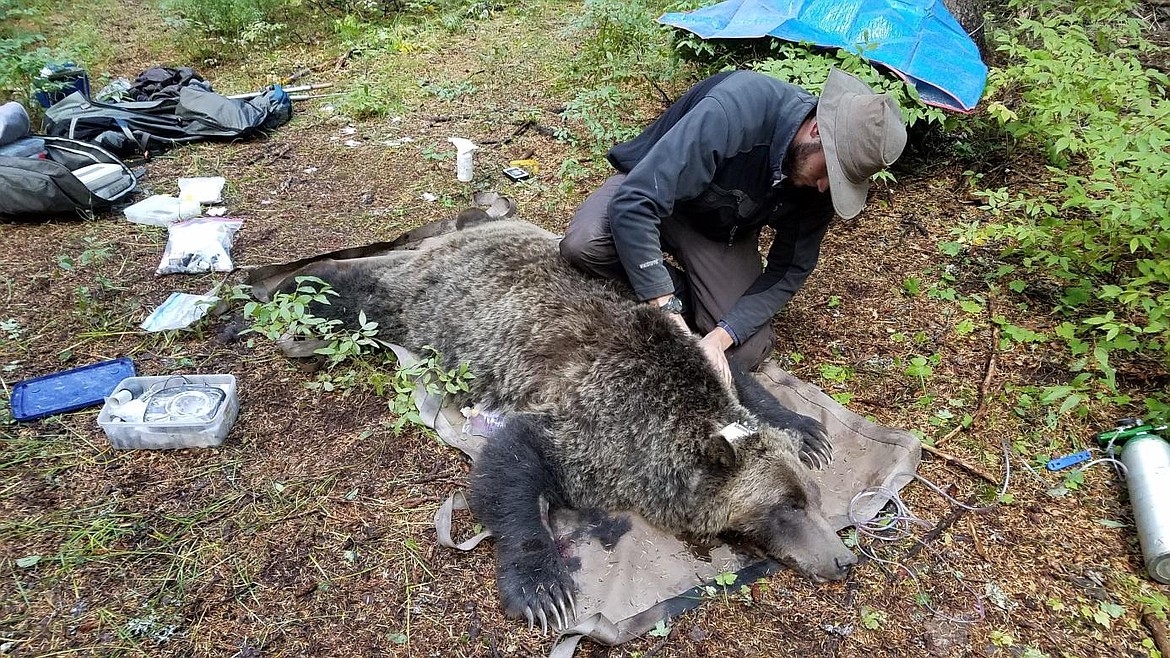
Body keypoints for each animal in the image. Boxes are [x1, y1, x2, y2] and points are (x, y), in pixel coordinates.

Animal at [283, 217, 851, 627]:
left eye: (812, 498)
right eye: (787, 507)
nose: (845, 559)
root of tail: (462, 232)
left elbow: (736, 370)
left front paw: (806, 430)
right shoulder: (593, 429)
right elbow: (515, 462)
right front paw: (543, 589)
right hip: (420, 303)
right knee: (361, 293)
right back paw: (291, 286)